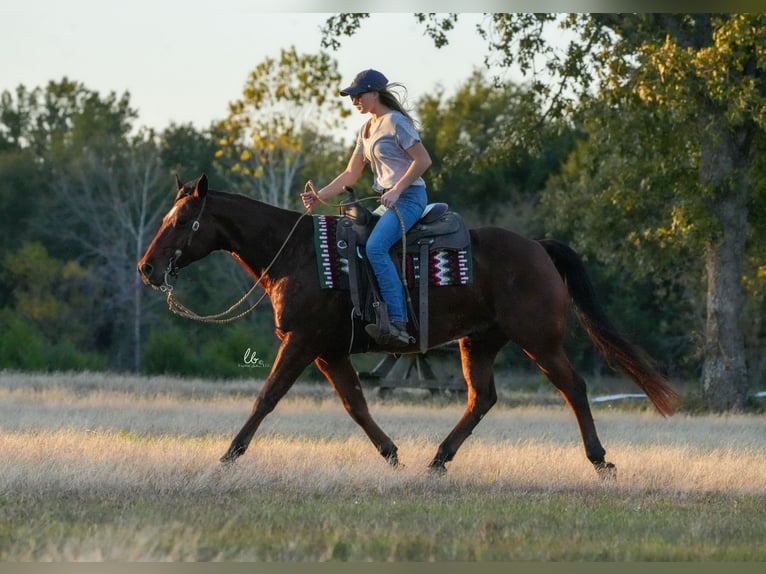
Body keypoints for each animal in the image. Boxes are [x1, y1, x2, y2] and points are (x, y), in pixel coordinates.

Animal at [140, 174, 684, 476]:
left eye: (182, 221)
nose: (147, 268)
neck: (297, 256)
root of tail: (538, 247)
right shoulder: (329, 352)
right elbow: (356, 405)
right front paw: (392, 455)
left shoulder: (302, 342)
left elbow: (267, 397)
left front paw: (228, 456)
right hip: (478, 342)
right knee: (481, 398)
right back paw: (437, 459)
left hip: (539, 341)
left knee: (573, 387)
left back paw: (600, 460)